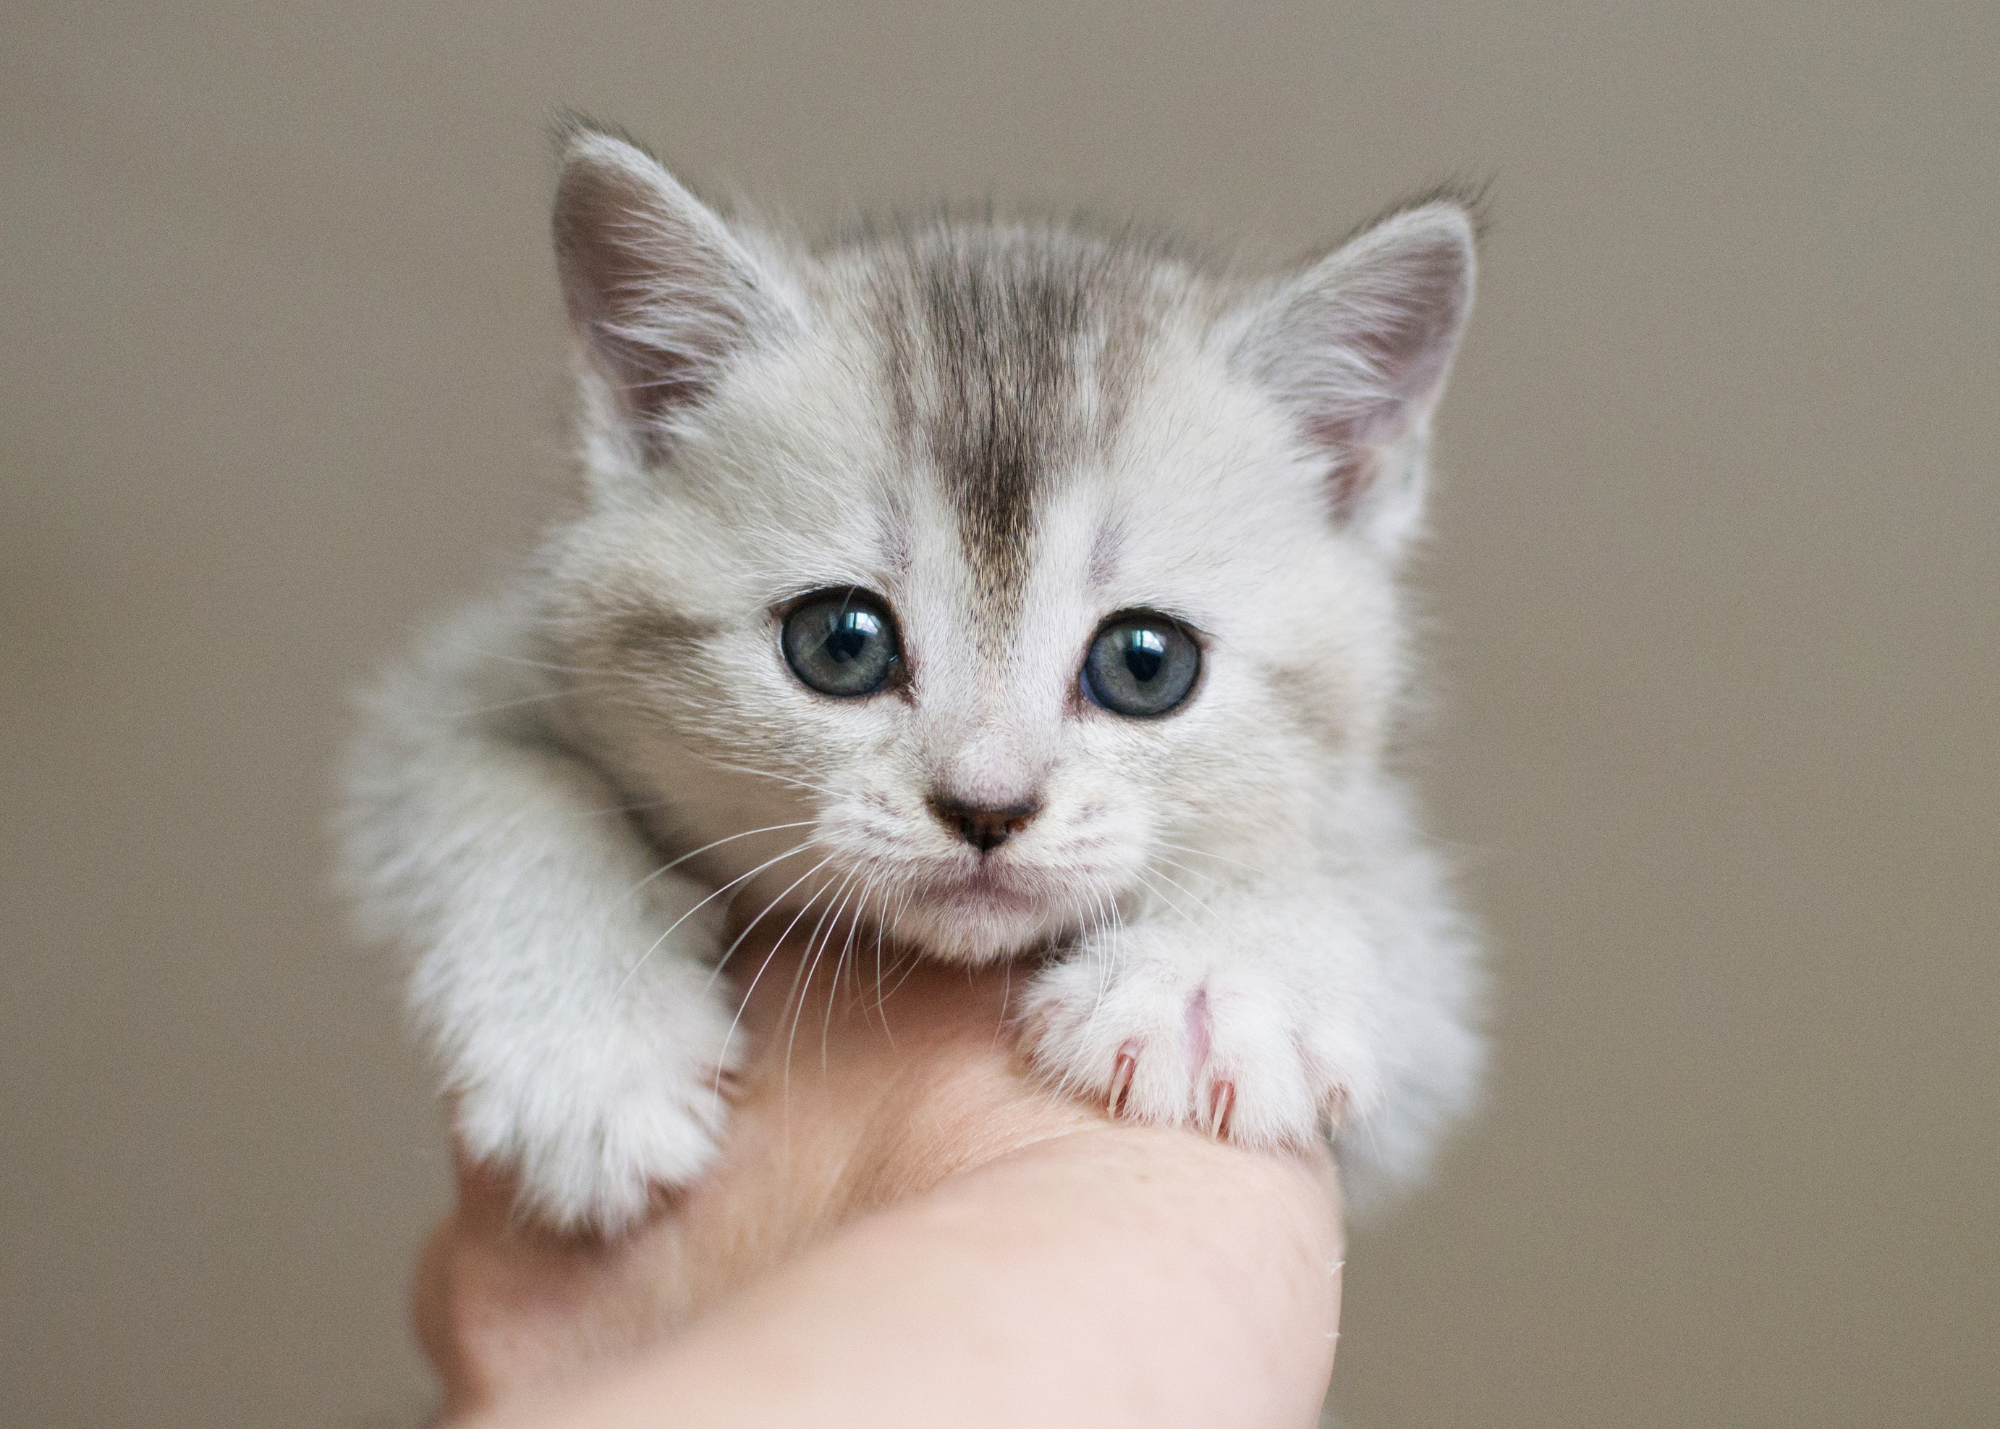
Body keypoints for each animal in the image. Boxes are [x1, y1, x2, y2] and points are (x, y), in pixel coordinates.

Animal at [340, 122, 1488, 1232]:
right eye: (840, 644)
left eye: (1145, 664)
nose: (986, 807)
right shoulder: (476, 678)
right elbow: (498, 780)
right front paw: (590, 1051)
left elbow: (1364, 876)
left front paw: (1211, 978)